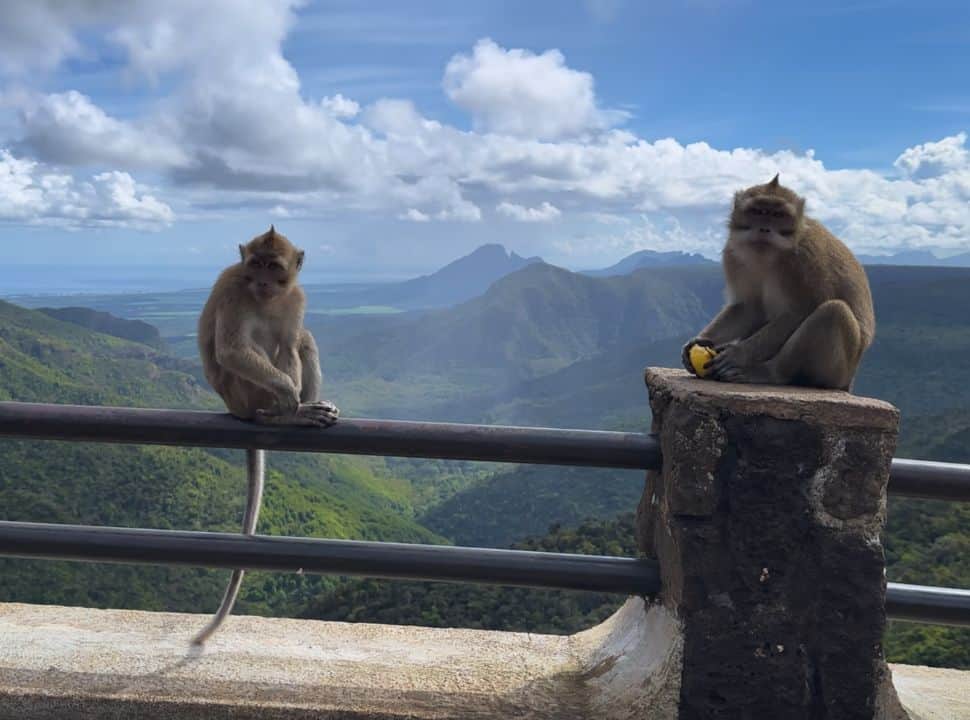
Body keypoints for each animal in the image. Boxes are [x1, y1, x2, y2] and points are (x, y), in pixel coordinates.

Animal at [194, 225, 339, 645]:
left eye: (273, 267)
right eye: (254, 264)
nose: (260, 281)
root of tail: (234, 409)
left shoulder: (296, 296)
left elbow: (291, 342)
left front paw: (298, 401)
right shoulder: (233, 287)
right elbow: (231, 349)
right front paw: (289, 399)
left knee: (299, 339)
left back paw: (302, 409)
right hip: (243, 392)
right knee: (251, 349)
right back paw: (279, 415)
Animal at [681, 175, 874, 391]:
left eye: (778, 215)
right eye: (758, 211)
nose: (764, 228)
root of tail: (849, 380)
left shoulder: (804, 260)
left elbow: (800, 311)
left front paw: (738, 354)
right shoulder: (732, 255)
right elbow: (748, 307)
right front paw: (702, 339)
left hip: (839, 372)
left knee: (833, 312)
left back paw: (769, 372)